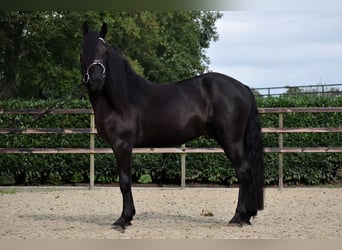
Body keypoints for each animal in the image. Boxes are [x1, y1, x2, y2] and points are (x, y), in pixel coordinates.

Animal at [80, 21, 264, 232]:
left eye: (105, 52)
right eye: (83, 51)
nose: (96, 80)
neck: (120, 100)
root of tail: (243, 88)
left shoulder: (122, 145)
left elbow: (124, 182)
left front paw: (123, 219)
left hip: (231, 141)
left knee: (243, 172)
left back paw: (238, 217)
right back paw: (247, 215)